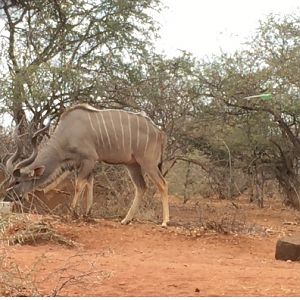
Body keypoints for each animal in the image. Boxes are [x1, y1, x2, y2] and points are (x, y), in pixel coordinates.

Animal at [4, 104, 170, 226]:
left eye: (17, 181)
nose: (8, 196)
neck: (67, 132)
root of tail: (160, 132)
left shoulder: (89, 159)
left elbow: (79, 185)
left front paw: (72, 213)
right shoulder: (85, 163)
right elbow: (89, 183)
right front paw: (87, 214)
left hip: (148, 163)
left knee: (162, 184)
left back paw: (165, 222)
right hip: (132, 165)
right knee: (141, 187)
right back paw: (125, 220)